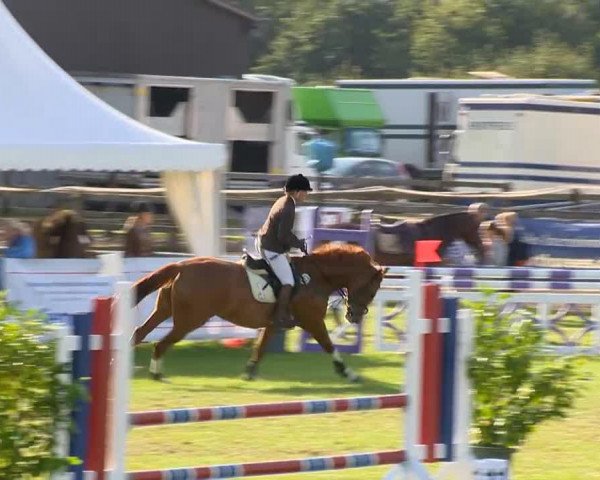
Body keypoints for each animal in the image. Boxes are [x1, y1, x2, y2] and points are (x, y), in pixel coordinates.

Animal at [131, 244, 386, 382]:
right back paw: (155, 373)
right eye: (372, 289)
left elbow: (261, 348)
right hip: (189, 321)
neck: (317, 275)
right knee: (160, 344)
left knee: (140, 333)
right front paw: (348, 373)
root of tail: (181, 266)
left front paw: (249, 372)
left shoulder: (273, 324)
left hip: (165, 311)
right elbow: (329, 346)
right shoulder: (312, 321)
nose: (355, 316)